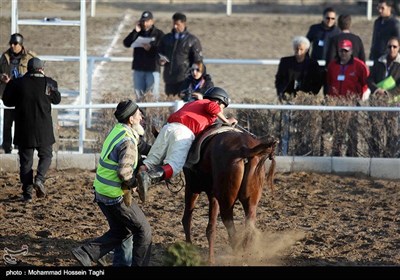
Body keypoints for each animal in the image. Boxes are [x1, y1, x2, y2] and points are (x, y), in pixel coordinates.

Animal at [182, 124, 278, 264]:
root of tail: (243, 149)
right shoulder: (212, 195)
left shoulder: (193, 188)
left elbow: (188, 220)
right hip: (250, 201)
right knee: (248, 224)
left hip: (226, 201)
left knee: (230, 227)